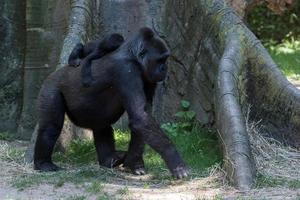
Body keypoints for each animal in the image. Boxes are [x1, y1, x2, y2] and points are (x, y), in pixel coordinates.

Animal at [34, 27, 189, 178]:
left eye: (165, 59)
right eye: (160, 60)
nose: (164, 69)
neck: (134, 56)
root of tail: (54, 72)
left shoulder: (149, 77)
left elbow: (143, 117)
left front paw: (134, 162)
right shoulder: (126, 70)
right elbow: (140, 117)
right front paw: (176, 162)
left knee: (102, 125)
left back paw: (110, 159)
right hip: (51, 85)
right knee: (50, 127)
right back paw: (43, 163)